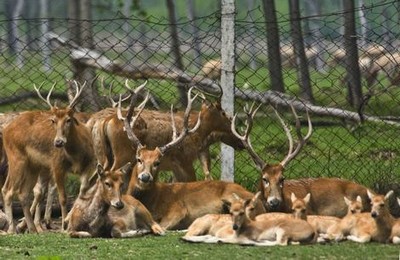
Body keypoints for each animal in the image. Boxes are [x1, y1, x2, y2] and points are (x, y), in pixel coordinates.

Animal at [1, 81, 96, 234]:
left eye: (69, 120)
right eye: (53, 120)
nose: (58, 142)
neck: (76, 156)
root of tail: (6, 129)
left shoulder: (89, 165)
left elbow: (82, 194)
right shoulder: (57, 165)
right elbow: (63, 198)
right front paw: (64, 226)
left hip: (33, 165)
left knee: (23, 193)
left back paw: (32, 229)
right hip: (16, 157)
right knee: (8, 190)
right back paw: (12, 229)